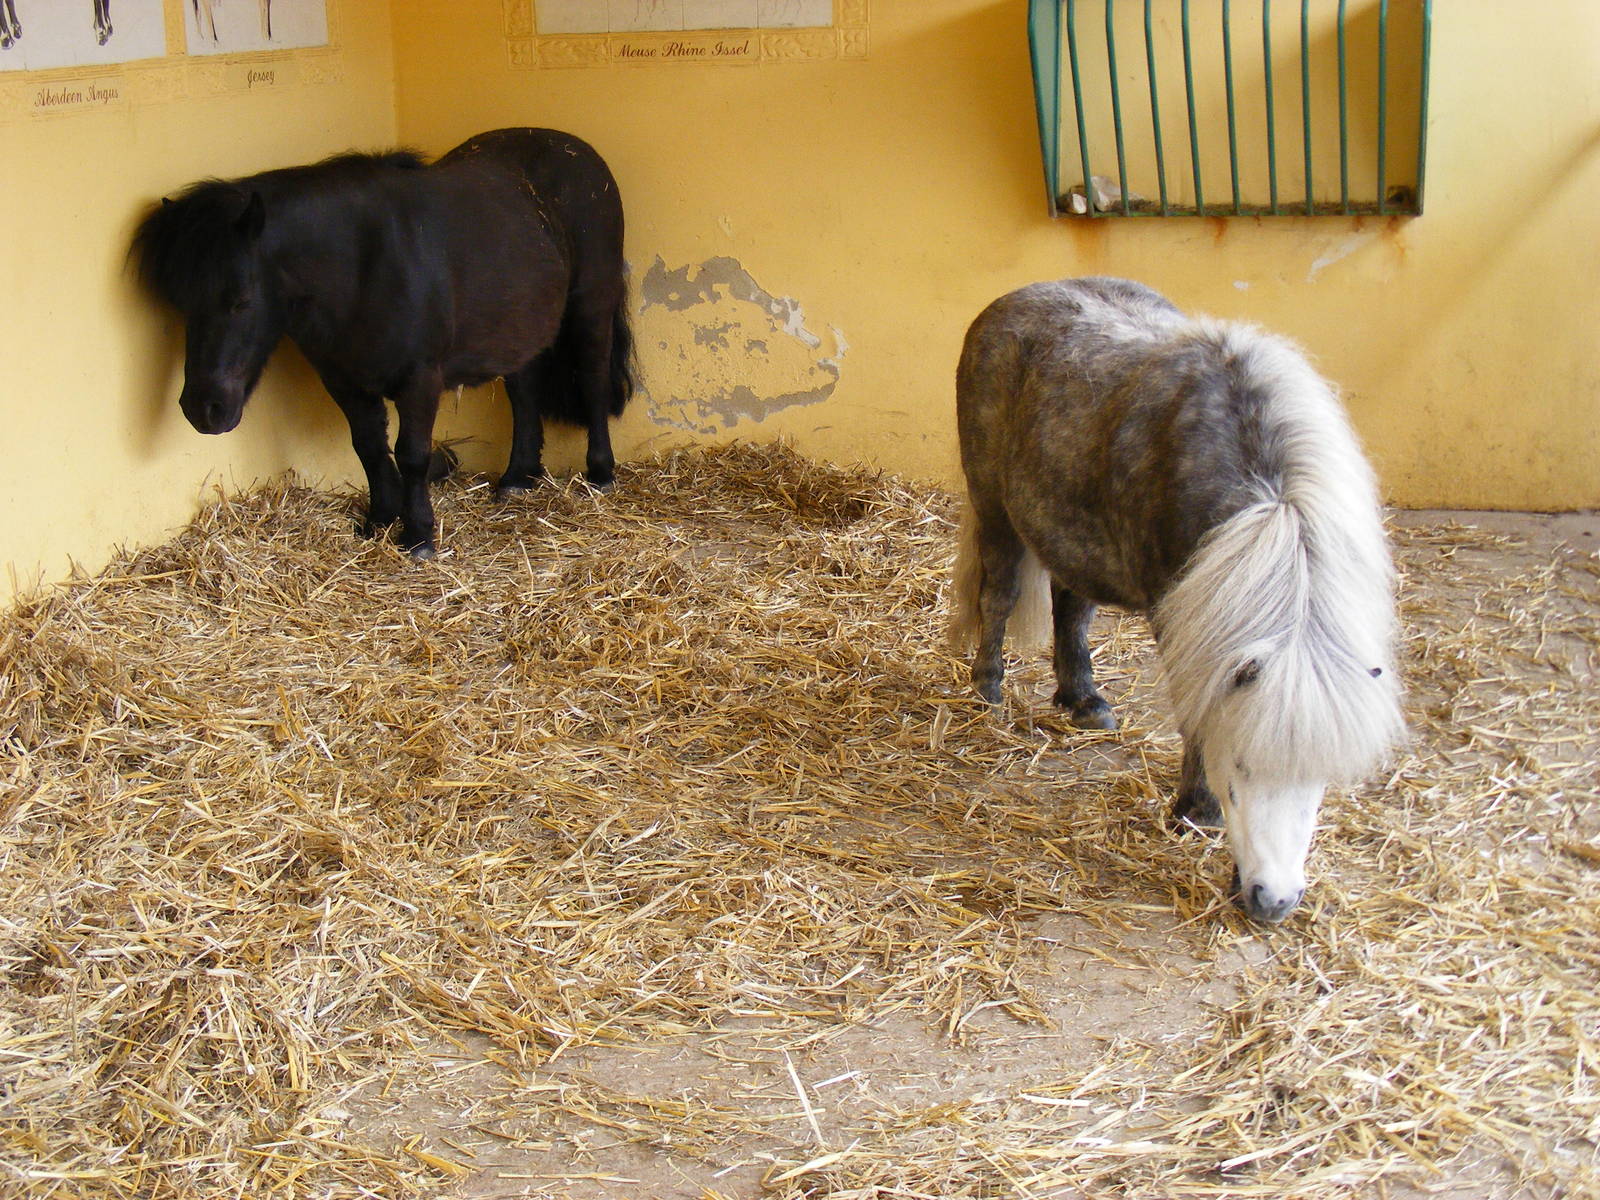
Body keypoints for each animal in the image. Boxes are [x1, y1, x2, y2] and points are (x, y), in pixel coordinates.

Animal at [131, 128, 636, 559]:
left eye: (241, 299)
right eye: (179, 301)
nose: (203, 409)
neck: (363, 267)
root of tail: (579, 152)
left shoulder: (420, 381)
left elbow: (412, 455)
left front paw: (418, 537)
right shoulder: (344, 380)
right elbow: (369, 447)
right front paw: (378, 521)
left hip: (590, 307)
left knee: (593, 380)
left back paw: (600, 474)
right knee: (524, 391)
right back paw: (517, 477)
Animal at [951, 277, 1403, 923]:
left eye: (1319, 779)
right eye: (1240, 764)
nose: (1274, 902)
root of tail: (1012, 299)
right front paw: (1196, 809)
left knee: (1070, 607)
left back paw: (1084, 701)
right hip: (995, 511)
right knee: (998, 597)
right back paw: (988, 692)